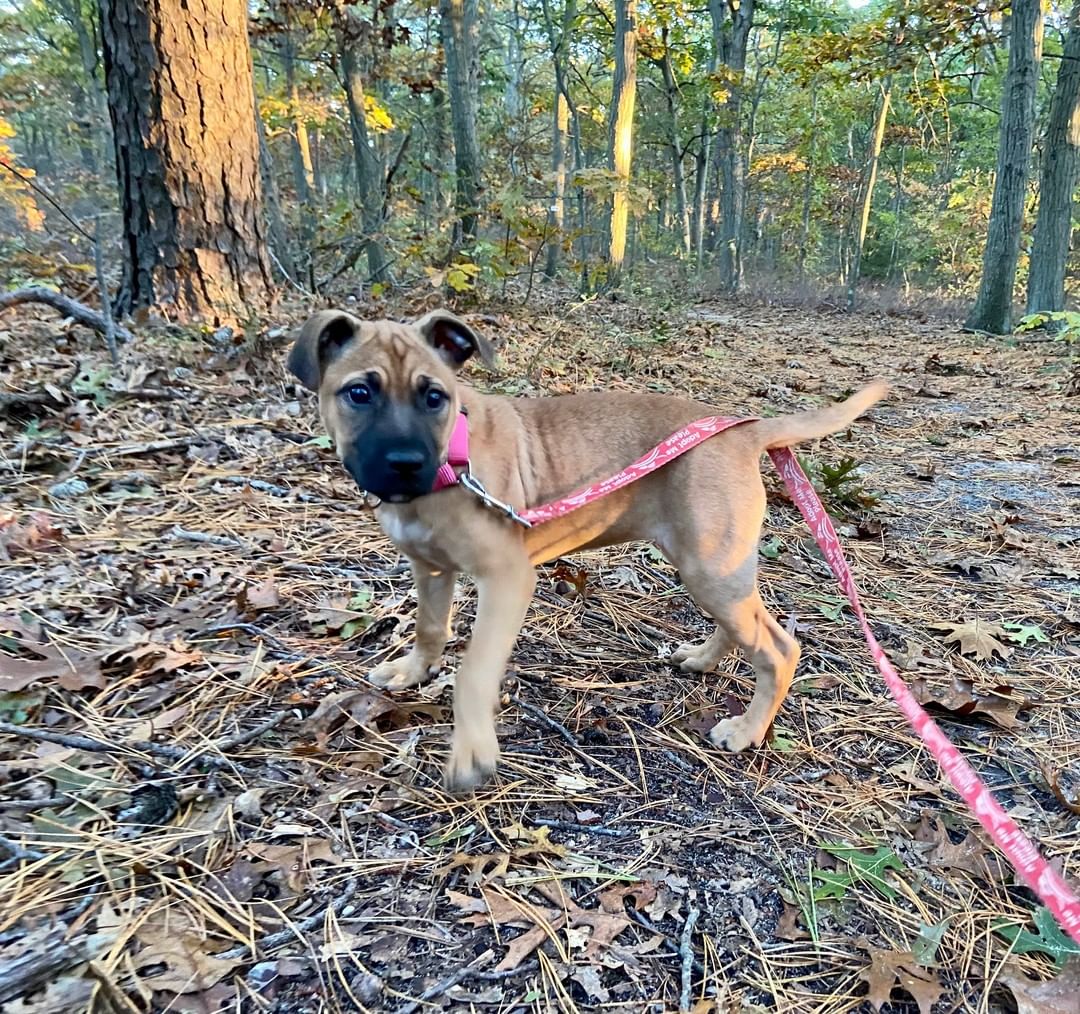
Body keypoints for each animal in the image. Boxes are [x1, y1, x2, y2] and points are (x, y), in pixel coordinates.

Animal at [287, 308, 885, 794]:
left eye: (434, 397)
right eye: (359, 393)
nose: (405, 463)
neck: (450, 461)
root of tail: (743, 430)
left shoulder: (508, 578)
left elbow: (474, 671)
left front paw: (472, 751)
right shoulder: (430, 567)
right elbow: (430, 628)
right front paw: (412, 671)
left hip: (710, 567)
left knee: (779, 649)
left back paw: (746, 730)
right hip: (715, 565)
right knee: (747, 624)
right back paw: (703, 659)